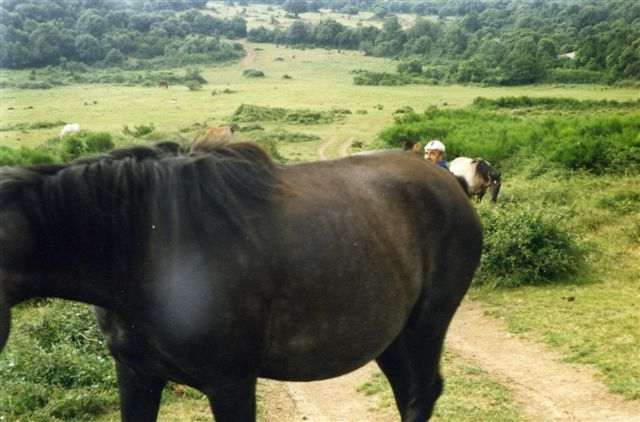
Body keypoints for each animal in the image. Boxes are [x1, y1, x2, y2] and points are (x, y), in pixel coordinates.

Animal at [0, 142, 482, 422]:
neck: (144, 249)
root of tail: (451, 181)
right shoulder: (136, 374)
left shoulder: (230, 382)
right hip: (392, 337)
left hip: (426, 326)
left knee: (421, 394)